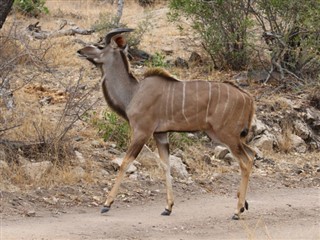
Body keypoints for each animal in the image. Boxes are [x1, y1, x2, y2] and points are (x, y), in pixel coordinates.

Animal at [77, 27, 255, 219]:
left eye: (100, 46)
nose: (80, 51)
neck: (134, 93)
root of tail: (248, 97)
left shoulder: (142, 132)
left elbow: (125, 163)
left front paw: (106, 204)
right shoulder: (160, 134)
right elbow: (166, 165)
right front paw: (168, 207)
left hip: (227, 135)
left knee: (245, 162)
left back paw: (237, 211)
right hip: (226, 136)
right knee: (251, 154)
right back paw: (243, 205)